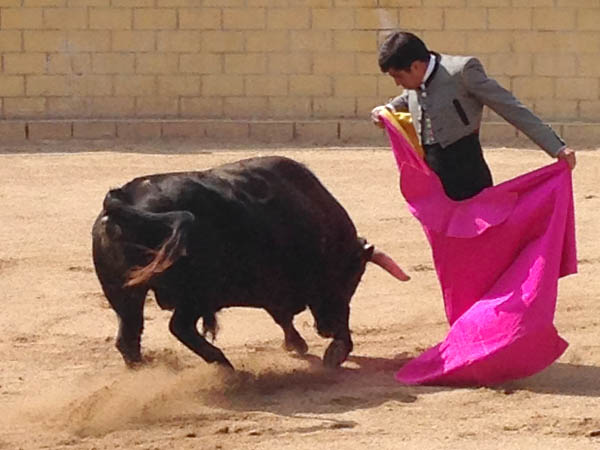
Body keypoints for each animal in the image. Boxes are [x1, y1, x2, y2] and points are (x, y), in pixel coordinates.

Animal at [91, 156, 410, 370]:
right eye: (351, 277)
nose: (326, 329)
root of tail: (123, 198)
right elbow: (294, 314)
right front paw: (335, 350)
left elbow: (282, 316)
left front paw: (299, 344)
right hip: (195, 294)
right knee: (178, 327)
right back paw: (223, 365)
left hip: (124, 293)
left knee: (129, 338)